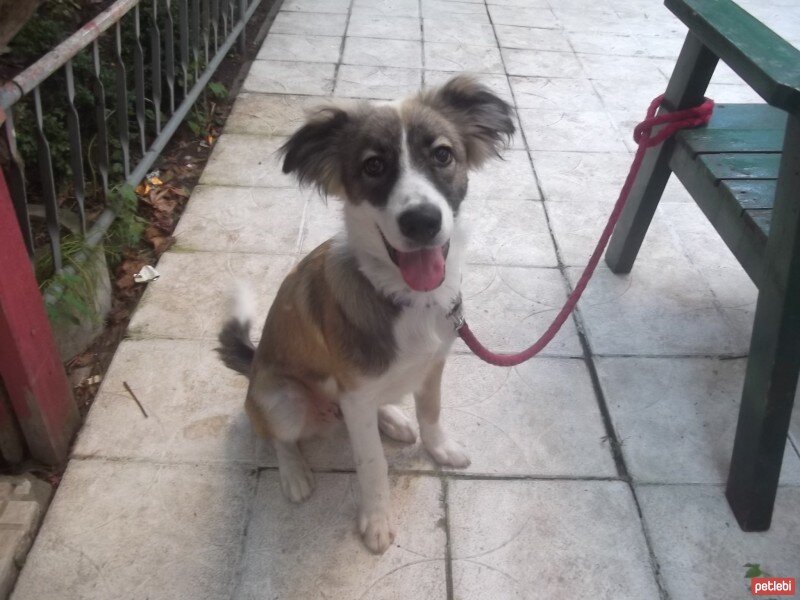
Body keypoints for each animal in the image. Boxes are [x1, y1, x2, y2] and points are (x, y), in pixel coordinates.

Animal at [216, 75, 516, 552]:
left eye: (443, 154)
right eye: (373, 166)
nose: (422, 221)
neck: (407, 296)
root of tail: (255, 364)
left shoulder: (432, 365)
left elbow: (431, 412)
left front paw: (439, 448)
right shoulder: (355, 394)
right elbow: (371, 463)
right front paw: (375, 520)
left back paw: (393, 419)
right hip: (282, 398)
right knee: (275, 435)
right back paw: (295, 473)